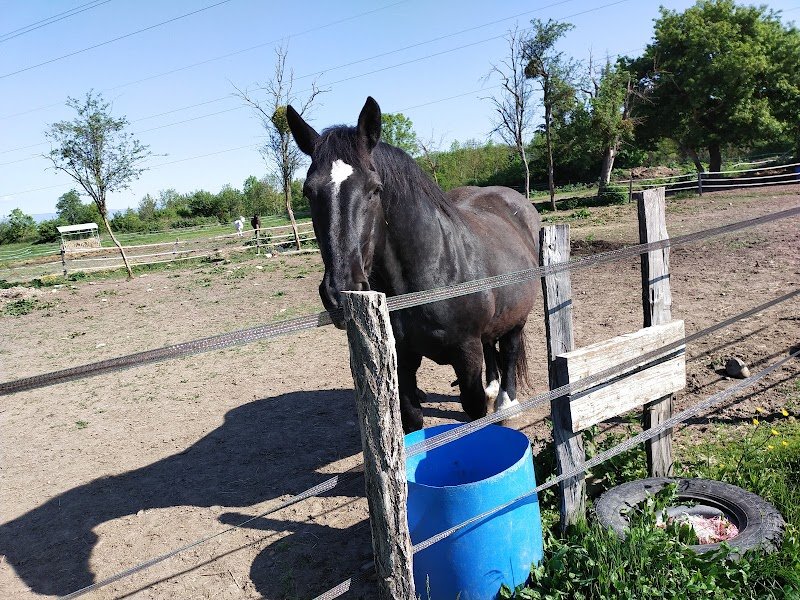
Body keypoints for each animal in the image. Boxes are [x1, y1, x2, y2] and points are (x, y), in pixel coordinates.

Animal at [287, 97, 541, 433]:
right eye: (309, 191)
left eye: (375, 189)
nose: (341, 290)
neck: (434, 273)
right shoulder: (402, 359)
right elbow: (412, 419)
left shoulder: (466, 355)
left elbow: (474, 412)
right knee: (492, 346)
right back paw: (493, 389)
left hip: (518, 316)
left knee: (509, 349)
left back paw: (506, 404)